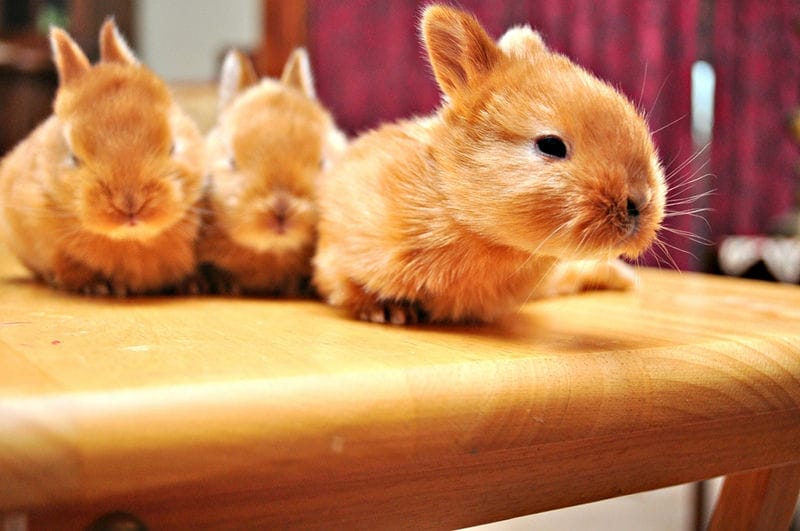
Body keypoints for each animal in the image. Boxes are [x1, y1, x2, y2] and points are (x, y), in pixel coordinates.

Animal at [0, 19, 205, 296]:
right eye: (73, 157)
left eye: (174, 146)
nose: (130, 204)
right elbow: (66, 264)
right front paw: (96, 286)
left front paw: (194, 284)